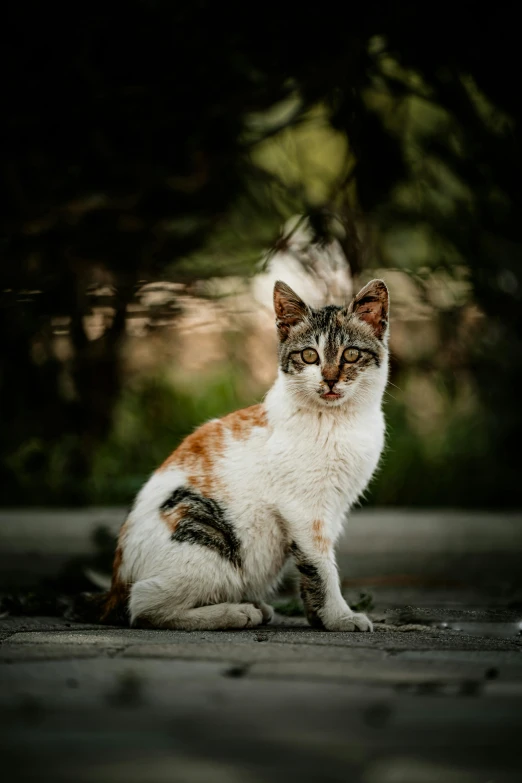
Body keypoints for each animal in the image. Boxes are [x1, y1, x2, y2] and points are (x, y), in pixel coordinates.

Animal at [99, 278, 388, 632]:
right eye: (309, 355)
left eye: (351, 354)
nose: (330, 379)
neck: (336, 420)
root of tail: (116, 584)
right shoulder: (304, 510)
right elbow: (321, 566)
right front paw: (339, 616)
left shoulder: (333, 509)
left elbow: (311, 566)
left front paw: (319, 616)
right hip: (204, 533)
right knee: (144, 604)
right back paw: (233, 613)